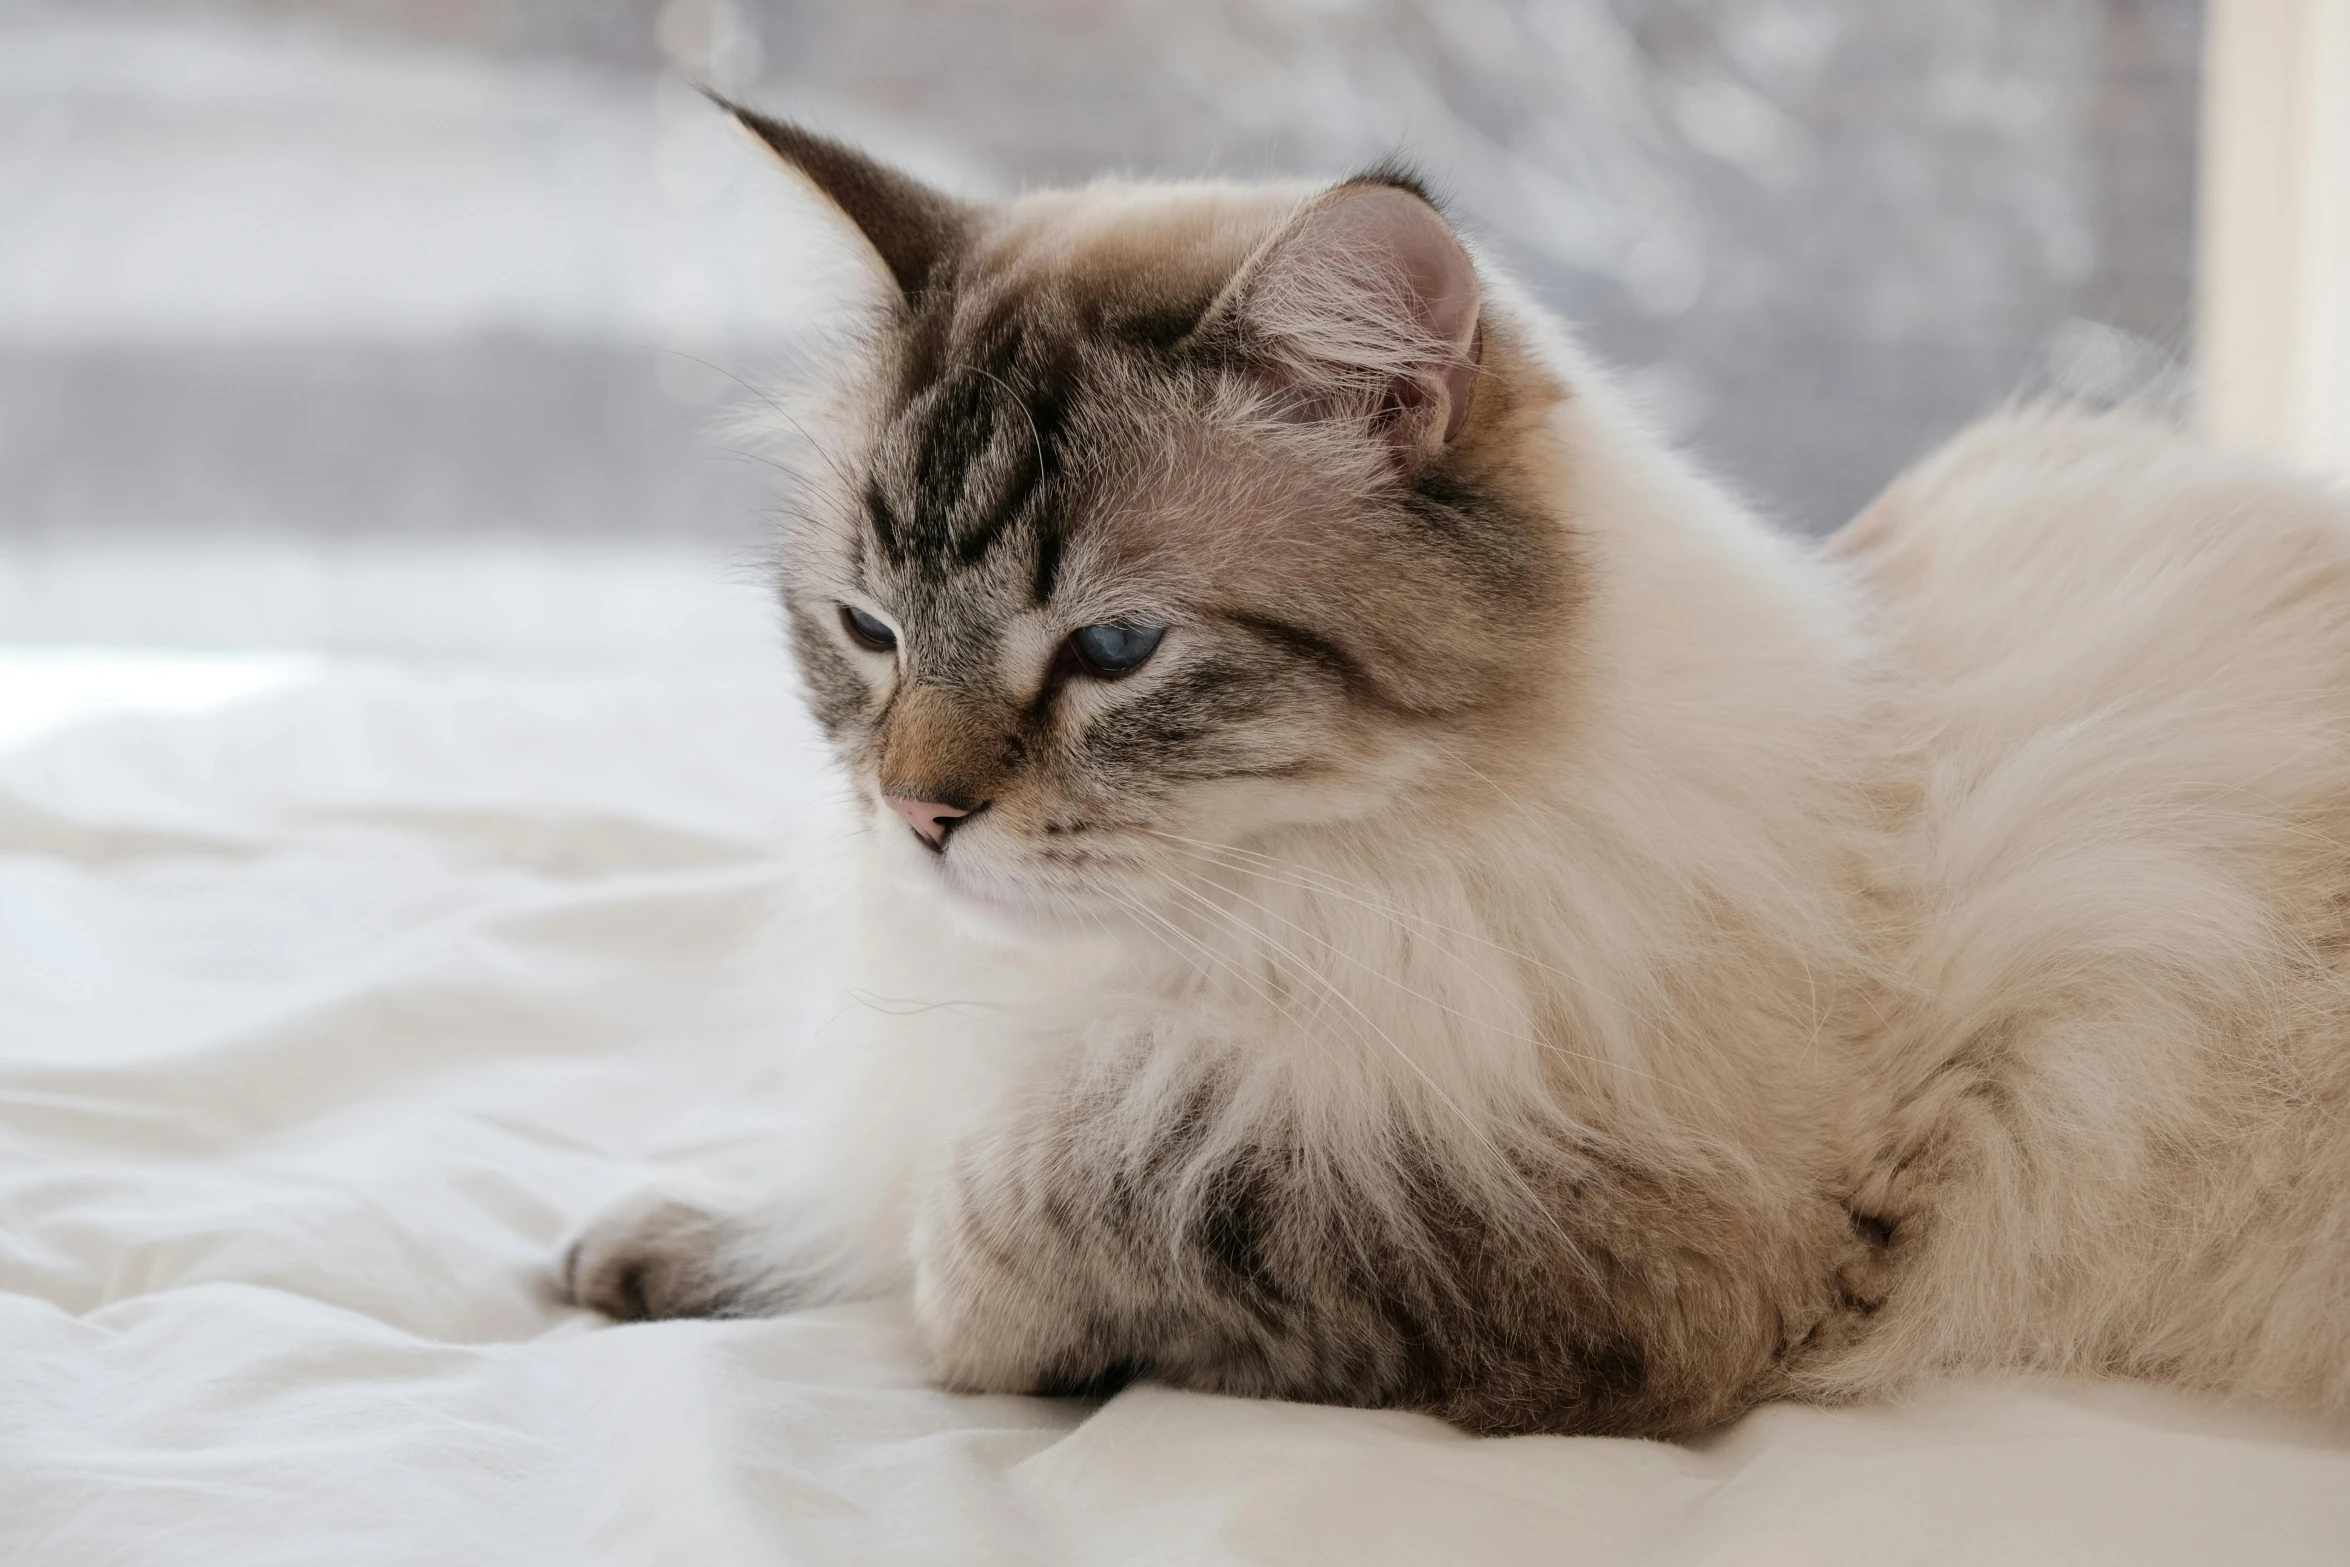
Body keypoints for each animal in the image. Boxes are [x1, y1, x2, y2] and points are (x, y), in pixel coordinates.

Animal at [564, 103, 2350, 1437]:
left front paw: (960, 1304)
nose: (918, 816)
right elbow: (840, 1189)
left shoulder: (1597, 1236)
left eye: (1115, 649)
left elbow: (1049, 1201)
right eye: (866, 631)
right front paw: (651, 1252)